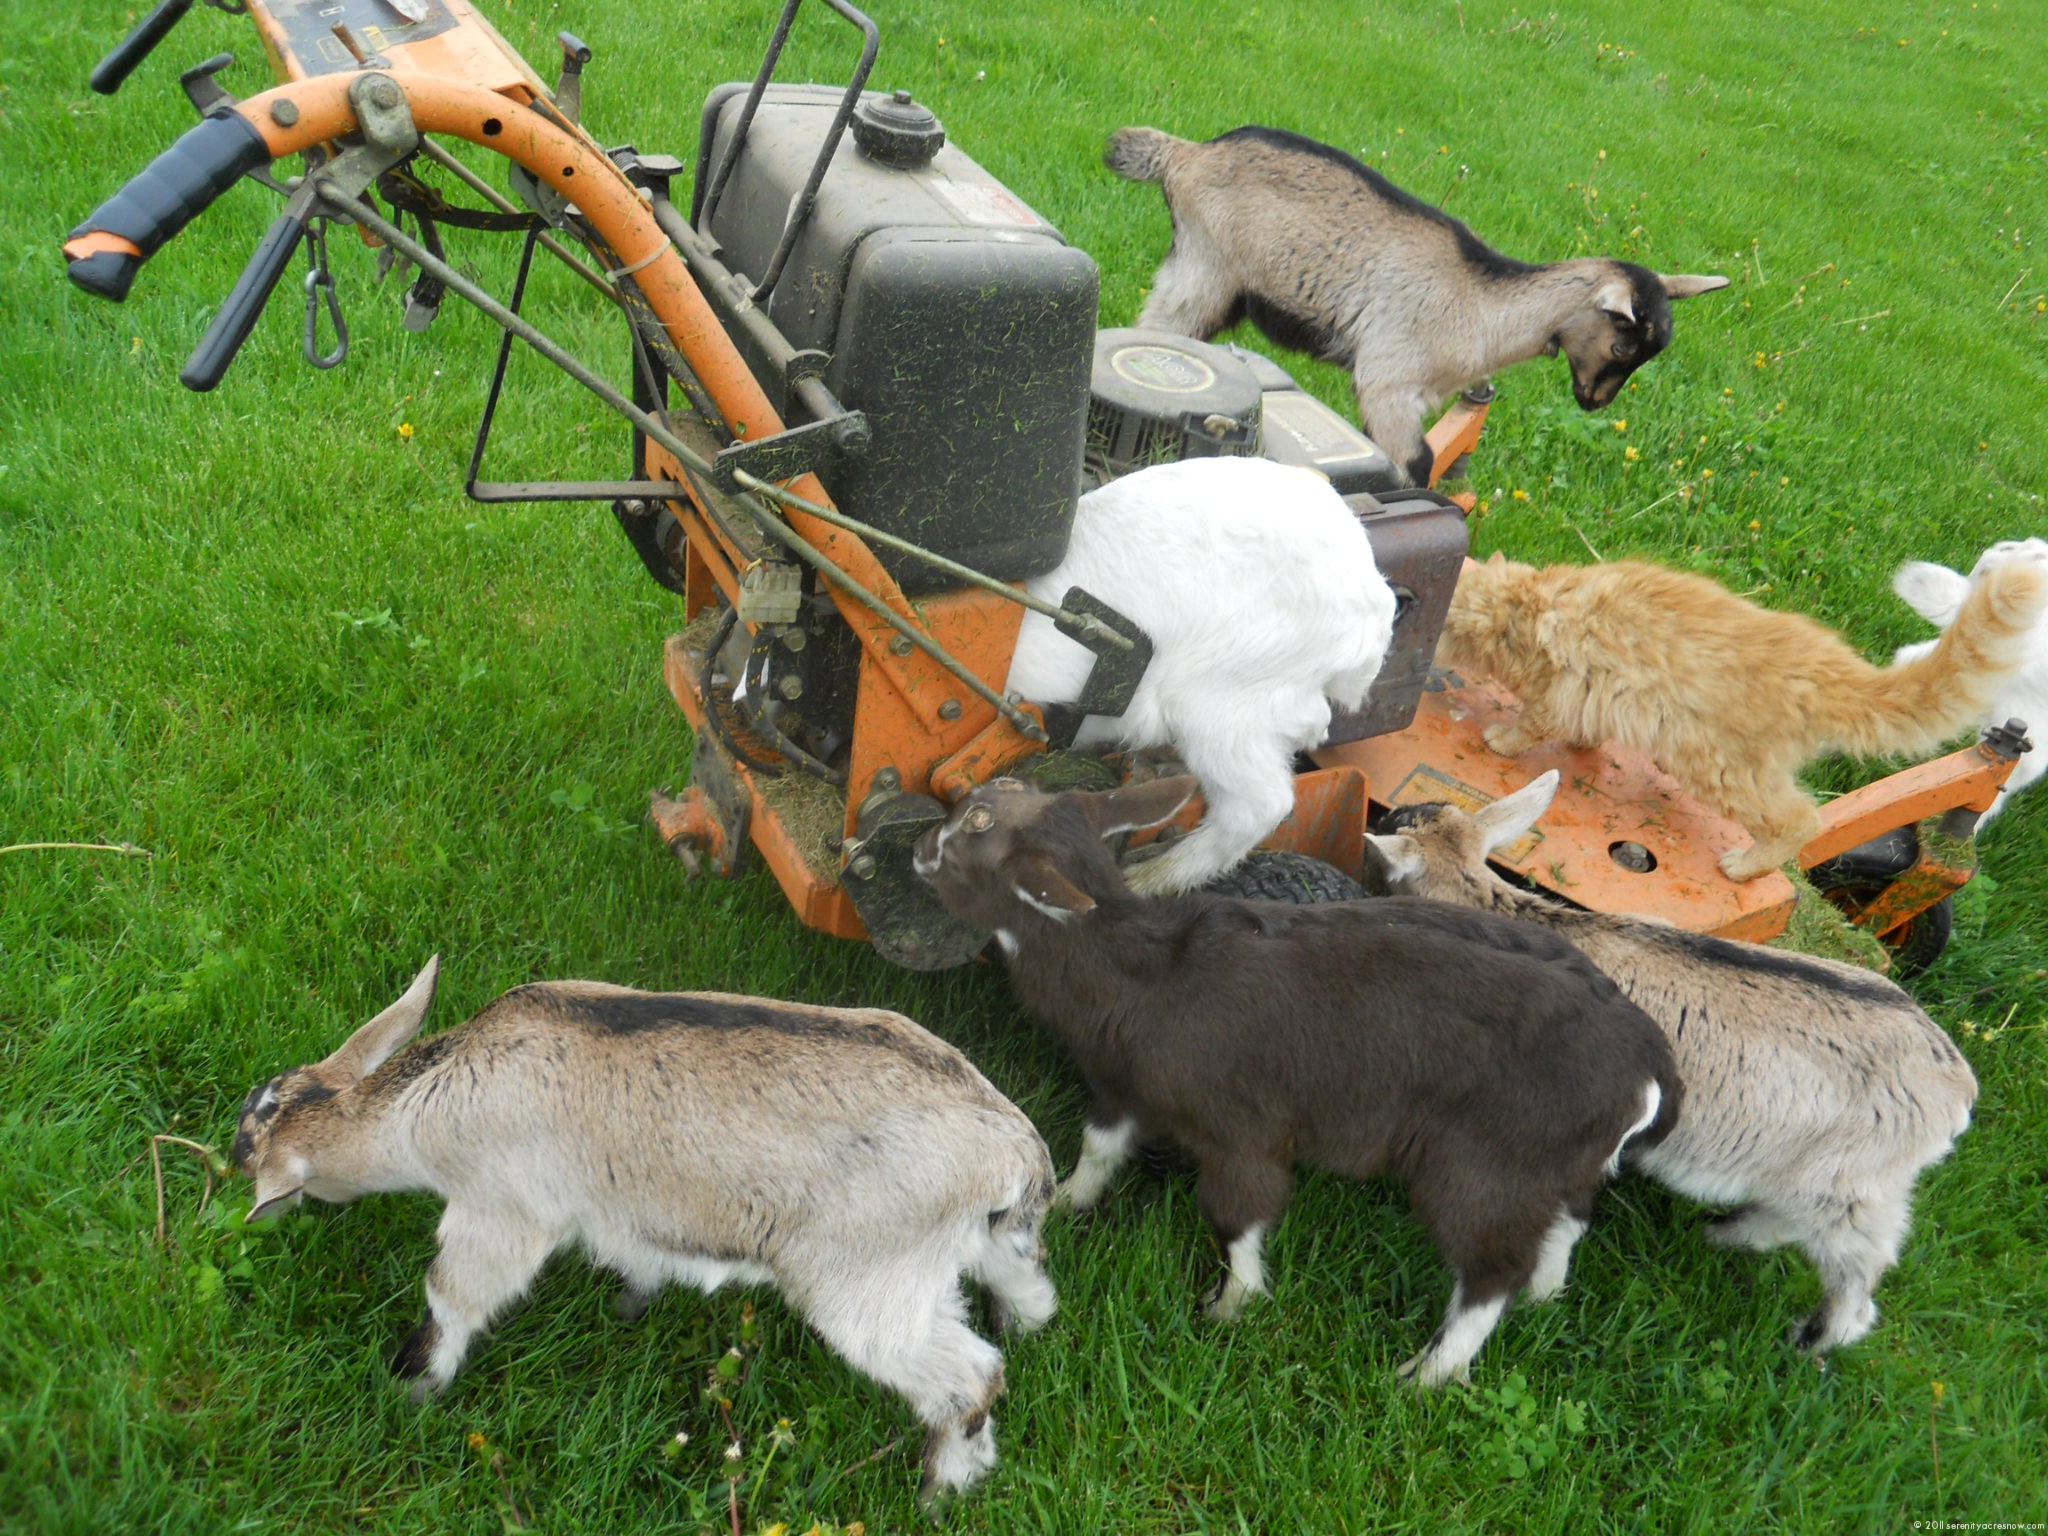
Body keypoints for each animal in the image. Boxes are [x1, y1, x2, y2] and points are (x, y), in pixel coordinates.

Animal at [235, 962, 1056, 1507]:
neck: (437, 1095)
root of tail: (1014, 1149)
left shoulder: (499, 1210)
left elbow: (452, 1296)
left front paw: (415, 1385)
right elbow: (636, 1254)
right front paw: (633, 1300)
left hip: (866, 1284)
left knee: (970, 1375)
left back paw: (938, 1489)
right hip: (962, 1253)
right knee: (1029, 1298)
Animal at [1105, 126, 1728, 487]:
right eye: (1622, 343)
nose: (1595, 401)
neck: (1482, 301)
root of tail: (1184, 155)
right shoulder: (1389, 381)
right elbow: (1416, 467)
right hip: (1207, 267)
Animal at [1368, 774, 1974, 1351]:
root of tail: (1959, 1088)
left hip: (1847, 1189)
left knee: (1859, 1269)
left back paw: (1814, 1339)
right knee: (1788, 1222)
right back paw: (1722, 1235)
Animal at [1441, 561, 2048, 884]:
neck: (1530, 604)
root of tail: (1827, 666)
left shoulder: (1559, 689)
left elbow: (1531, 724)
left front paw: (1500, 740)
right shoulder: (1597, 697)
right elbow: (1586, 728)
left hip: (1718, 768)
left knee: (1802, 819)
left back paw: (1744, 866)